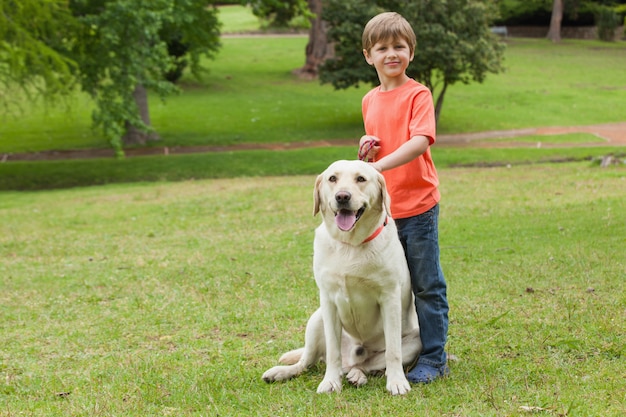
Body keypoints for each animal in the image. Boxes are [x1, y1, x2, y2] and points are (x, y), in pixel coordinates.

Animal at [258, 159, 420, 394]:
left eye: (361, 179)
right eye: (332, 178)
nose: (342, 196)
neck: (350, 245)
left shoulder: (390, 298)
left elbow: (393, 351)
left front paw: (397, 382)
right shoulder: (328, 300)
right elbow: (333, 352)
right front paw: (331, 382)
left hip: (416, 340)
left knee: (365, 365)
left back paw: (357, 376)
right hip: (316, 319)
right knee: (307, 361)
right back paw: (281, 372)